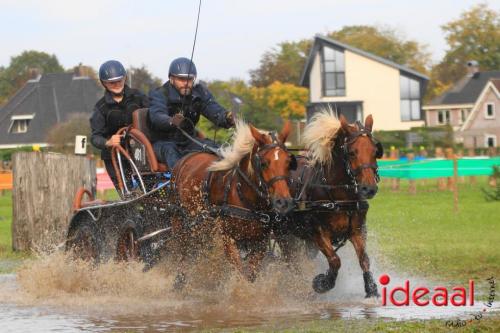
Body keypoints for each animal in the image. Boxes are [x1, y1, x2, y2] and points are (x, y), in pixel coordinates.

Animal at [172, 119, 296, 282]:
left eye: (289, 162)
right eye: (263, 163)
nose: (283, 202)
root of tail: (187, 158)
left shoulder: (260, 242)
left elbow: (250, 275)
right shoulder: (228, 239)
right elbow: (240, 272)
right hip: (180, 221)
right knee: (182, 251)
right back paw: (179, 279)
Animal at [280, 110, 380, 296]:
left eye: (375, 151)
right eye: (352, 152)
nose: (369, 189)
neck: (340, 197)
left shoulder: (357, 229)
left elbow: (364, 259)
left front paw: (371, 289)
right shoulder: (317, 232)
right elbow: (334, 260)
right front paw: (323, 282)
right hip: (282, 233)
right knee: (289, 258)